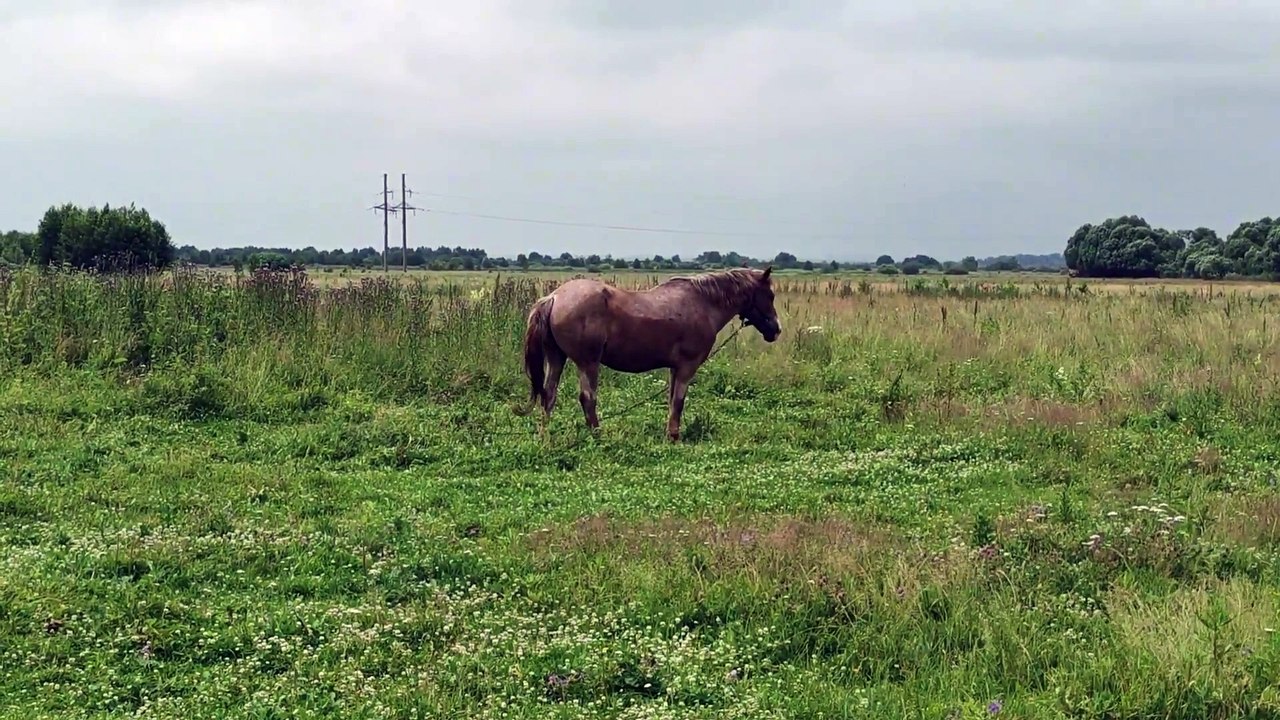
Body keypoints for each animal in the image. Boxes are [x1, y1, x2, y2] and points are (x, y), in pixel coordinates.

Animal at [522, 266, 782, 442]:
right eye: (770, 295)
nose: (776, 330)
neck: (703, 303)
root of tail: (554, 297)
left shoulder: (674, 368)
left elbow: (671, 400)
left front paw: (670, 433)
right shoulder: (687, 366)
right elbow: (678, 401)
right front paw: (674, 437)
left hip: (557, 358)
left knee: (548, 396)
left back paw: (545, 436)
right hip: (588, 363)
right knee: (587, 399)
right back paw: (597, 436)